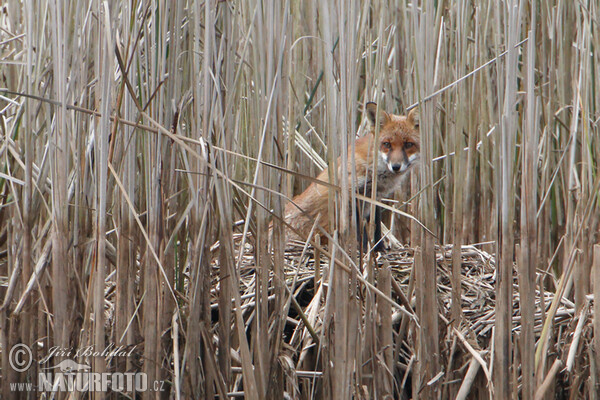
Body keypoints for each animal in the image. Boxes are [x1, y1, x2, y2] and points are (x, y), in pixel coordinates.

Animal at [280, 101, 418, 248]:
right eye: (386, 144)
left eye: (408, 144)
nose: (396, 166)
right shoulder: (350, 193)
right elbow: (359, 230)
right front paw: (362, 249)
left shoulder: (374, 197)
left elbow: (375, 226)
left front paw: (379, 249)